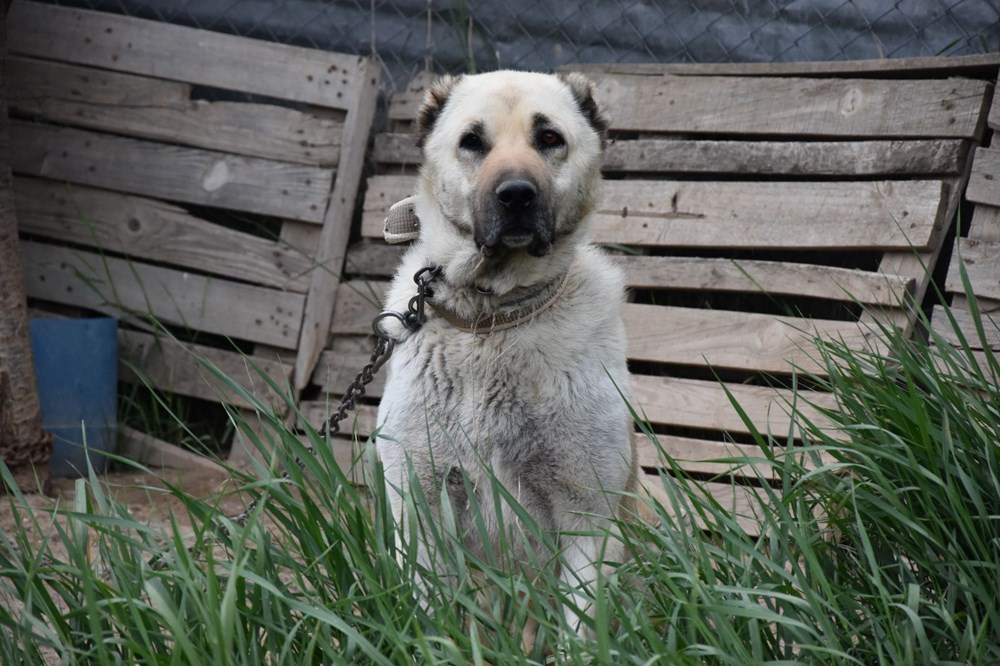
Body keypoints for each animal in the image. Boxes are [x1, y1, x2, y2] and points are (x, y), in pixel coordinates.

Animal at [372, 68, 636, 632]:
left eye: (549, 138)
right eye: (472, 141)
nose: (516, 195)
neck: (491, 319)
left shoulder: (589, 512)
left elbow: (579, 625)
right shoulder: (418, 500)